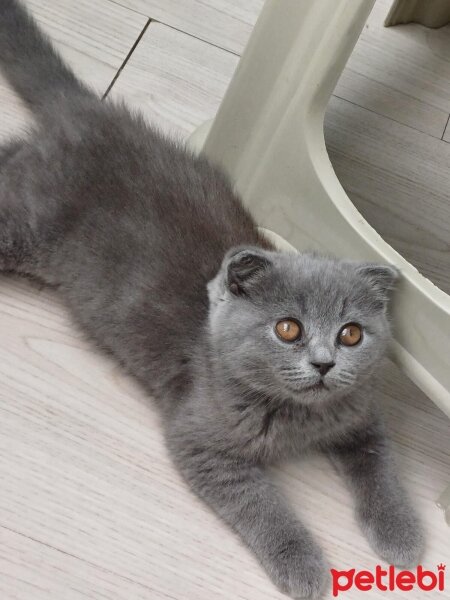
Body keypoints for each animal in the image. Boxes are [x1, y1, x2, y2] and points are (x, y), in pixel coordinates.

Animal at [0, 2, 422, 596]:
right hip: (28, 225)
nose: (324, 364)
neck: (298, 419)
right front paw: (305, 568)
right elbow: (265, 509)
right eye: (288, 328)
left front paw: (402, 537)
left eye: (351, 334)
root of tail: (84, 111)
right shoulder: (201, 442)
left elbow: (381, 468)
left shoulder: (361, 414)